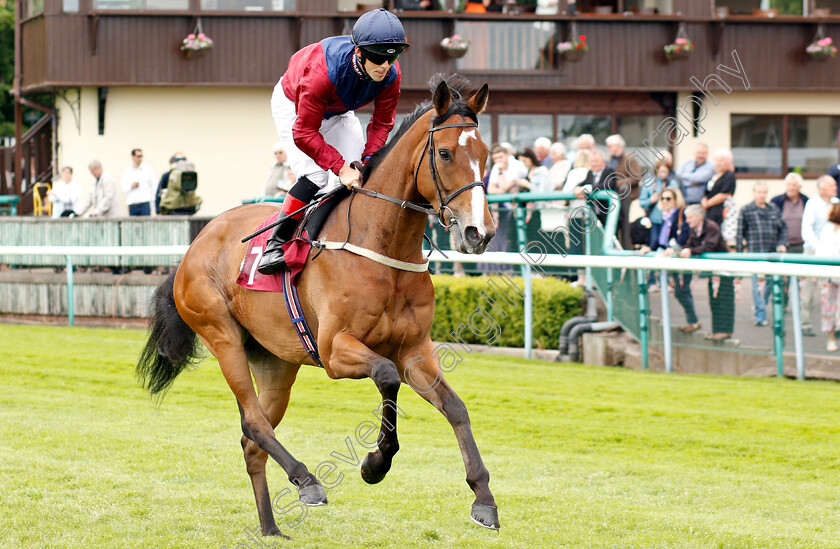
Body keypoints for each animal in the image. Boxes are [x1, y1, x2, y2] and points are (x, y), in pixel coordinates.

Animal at [138, 79, 498, 536]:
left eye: (486, 154)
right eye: (446, 153)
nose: (479, 232)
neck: (382, 247)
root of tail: (196, 242)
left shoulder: (415, 350)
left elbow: (456, 408)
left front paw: (484, 498)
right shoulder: (334, 350)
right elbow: (385, 375)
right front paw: (375, 464)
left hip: (276, 362)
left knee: (252, 441)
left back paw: (271, 528)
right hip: (222, 336)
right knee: (252, 421)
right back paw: (307, 480)